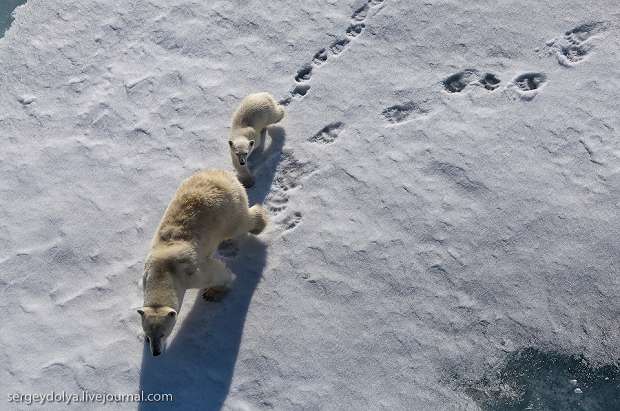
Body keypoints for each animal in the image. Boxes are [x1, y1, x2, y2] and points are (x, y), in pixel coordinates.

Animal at [138, 169, 266, 356]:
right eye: (148, 334)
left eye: (163, 333)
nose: (156, 353)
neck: (163, 270)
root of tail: (222, 173)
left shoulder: (190, 273)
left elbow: (215, 272)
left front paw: (213, 293)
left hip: (228, 209)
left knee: (240, 223)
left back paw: (259, 224)